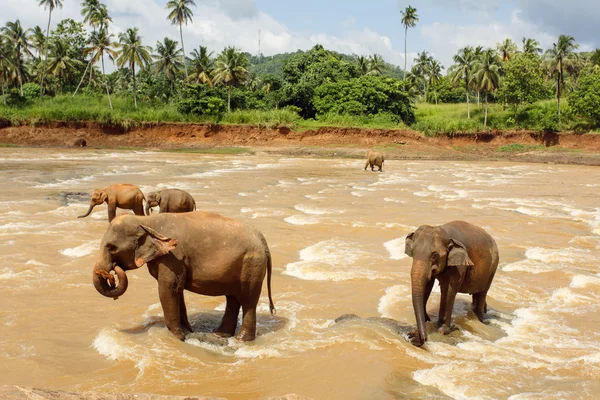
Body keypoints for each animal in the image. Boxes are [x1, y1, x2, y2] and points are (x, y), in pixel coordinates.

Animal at [92, 211, 276, 342]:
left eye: (111, 247)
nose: (113, 269)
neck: (147, 220)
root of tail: (263, 241)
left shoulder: (174, 257)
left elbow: (167, 290)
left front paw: (179, 337)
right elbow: (176, 291)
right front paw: (187, 332)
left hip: (252, 264)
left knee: (248, 300)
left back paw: (241, 340)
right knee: (233, 298)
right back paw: (219, 334)